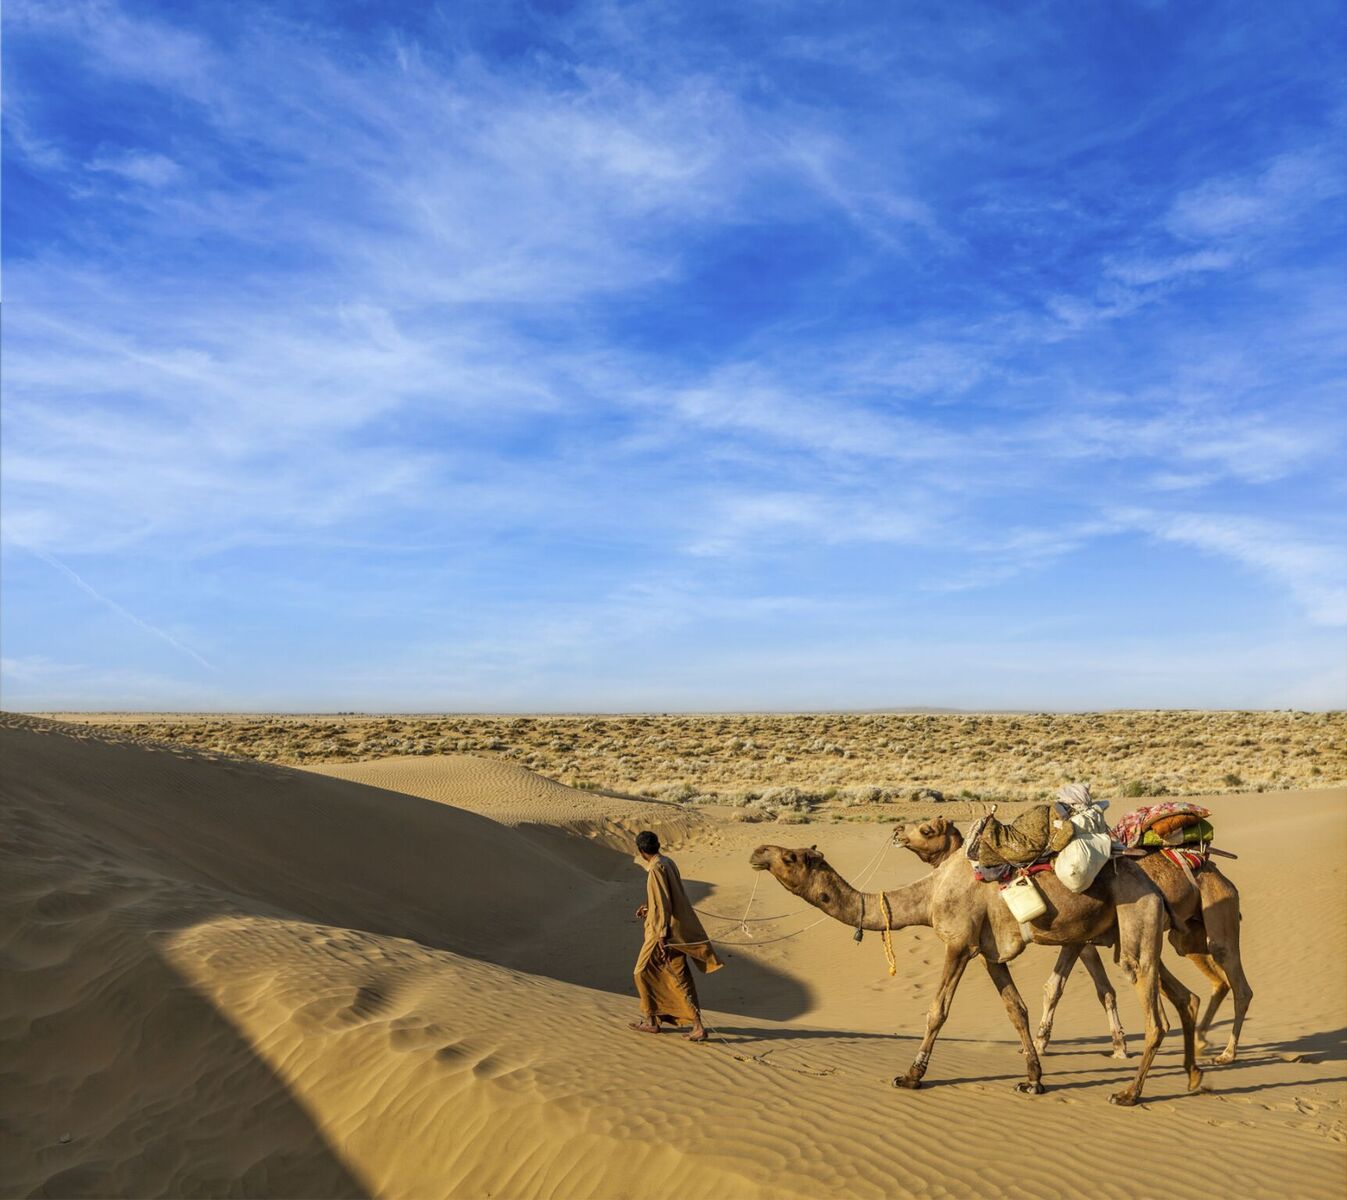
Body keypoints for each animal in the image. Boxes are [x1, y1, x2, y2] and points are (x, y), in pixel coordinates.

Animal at [754, 818, 1206, 1109]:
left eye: (792, 857)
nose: (758, 851)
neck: (929, 894)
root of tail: (1155, 886)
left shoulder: (959, 943)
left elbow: (937, 1010)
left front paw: (911, 1076)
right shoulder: (991, 954)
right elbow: (1016, 1010)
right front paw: (1033, 1080)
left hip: (1135, 921)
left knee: (1156, 1017)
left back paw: (1129, 1094)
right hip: (1131, 933)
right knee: (1185, 996)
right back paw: (1193, 1077)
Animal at [1039, 851, 1250, 1066]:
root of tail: (1222, 877)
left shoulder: (1079, 936)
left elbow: (1065, 986)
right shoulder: (1080, 940)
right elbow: (1081, 989)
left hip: (1217, 911)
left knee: (1238, 983)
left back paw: (1227, 1053)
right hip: (1187, 938)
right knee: (1214, 984)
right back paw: (1199, 1041)